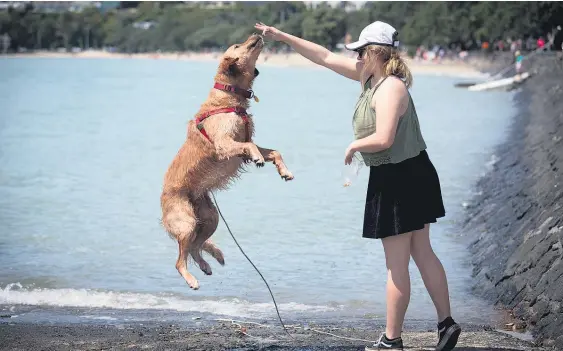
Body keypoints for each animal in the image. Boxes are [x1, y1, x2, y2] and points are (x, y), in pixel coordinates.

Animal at [160, 33, 296, 292]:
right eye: (237, 45)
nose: (257, 33)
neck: (229, 97)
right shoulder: (225, 144)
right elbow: (252, 149)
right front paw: (259, 159)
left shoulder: (245, 142)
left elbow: (274, 151)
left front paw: (284, 171)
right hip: (187, 222)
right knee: (180, 259)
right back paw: (191, 279)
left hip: (209, 219)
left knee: (195, 248)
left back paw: (205, 265)